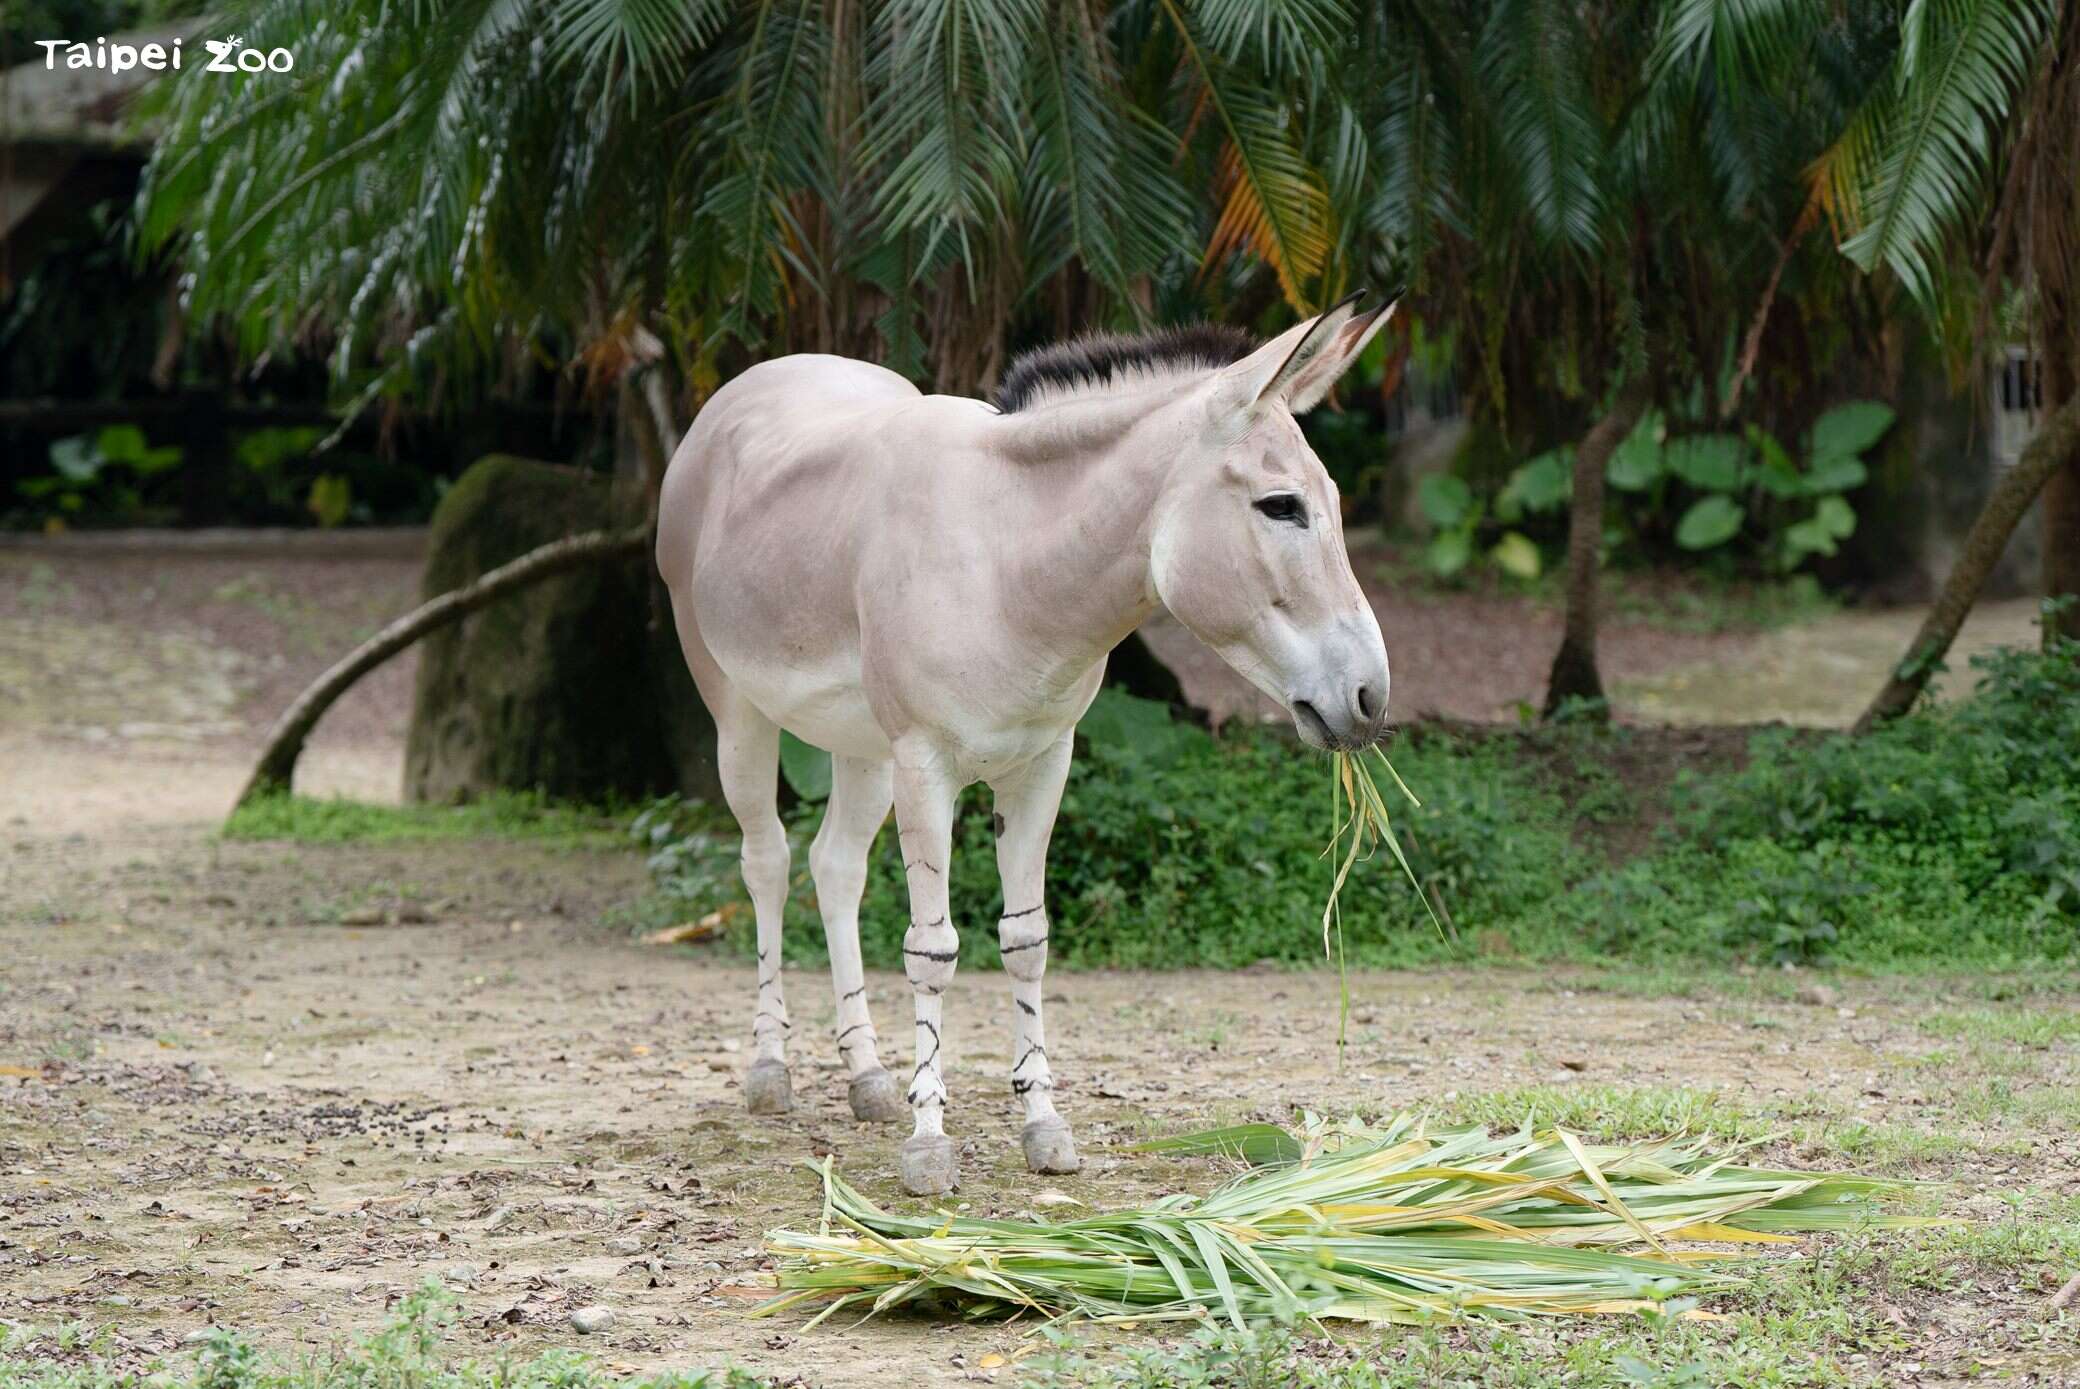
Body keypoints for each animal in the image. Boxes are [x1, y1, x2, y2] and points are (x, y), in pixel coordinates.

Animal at [655, 295, 1396, 1195]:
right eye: (1281, 505)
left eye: (1333, 499)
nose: (1371, 698)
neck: (1010, 560)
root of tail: (762, 374)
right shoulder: (926, 764)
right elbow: (933, 949)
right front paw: (929, 1144)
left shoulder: (1043, 763)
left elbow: (1027, 942)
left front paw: (1043, 1127)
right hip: (738, 709)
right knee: (766, 861)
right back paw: (771, 1070)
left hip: (860, 741)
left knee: (835, 866)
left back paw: (866, 1076)